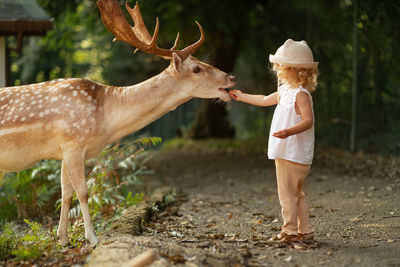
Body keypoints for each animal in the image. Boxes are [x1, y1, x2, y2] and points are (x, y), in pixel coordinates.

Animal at [0, 0, 234, 247]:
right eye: (197, 69)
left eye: (202, 61)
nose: (231, 78)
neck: (106, 121)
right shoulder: (73, 144)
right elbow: (83, 191)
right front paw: (92, 238)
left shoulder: (63, 150)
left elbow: (65, 193)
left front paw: (63, 239)